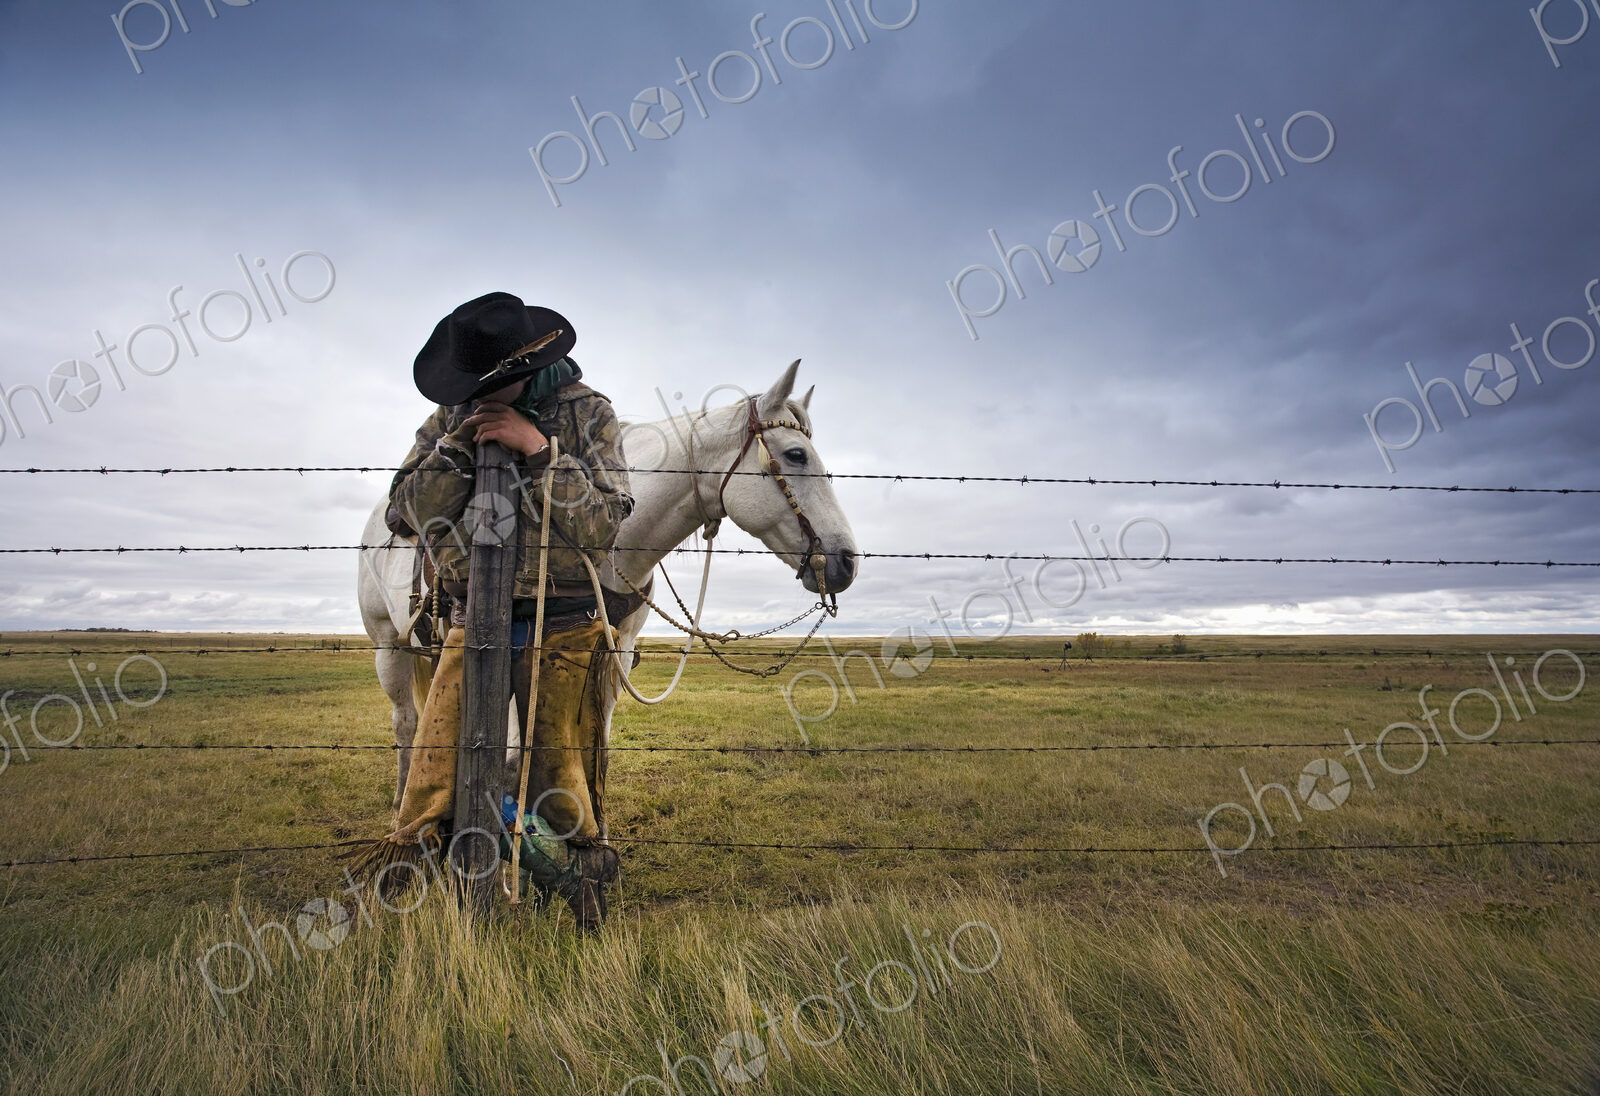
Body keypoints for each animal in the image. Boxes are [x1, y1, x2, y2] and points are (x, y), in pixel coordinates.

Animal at [356, 360, 859, 809]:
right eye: (795, 455)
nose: (847, 562)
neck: (614, 548)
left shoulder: (614, 652)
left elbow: (593, 747)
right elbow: (515, 758)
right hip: (388, 645)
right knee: (406, 723)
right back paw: (402, 800)